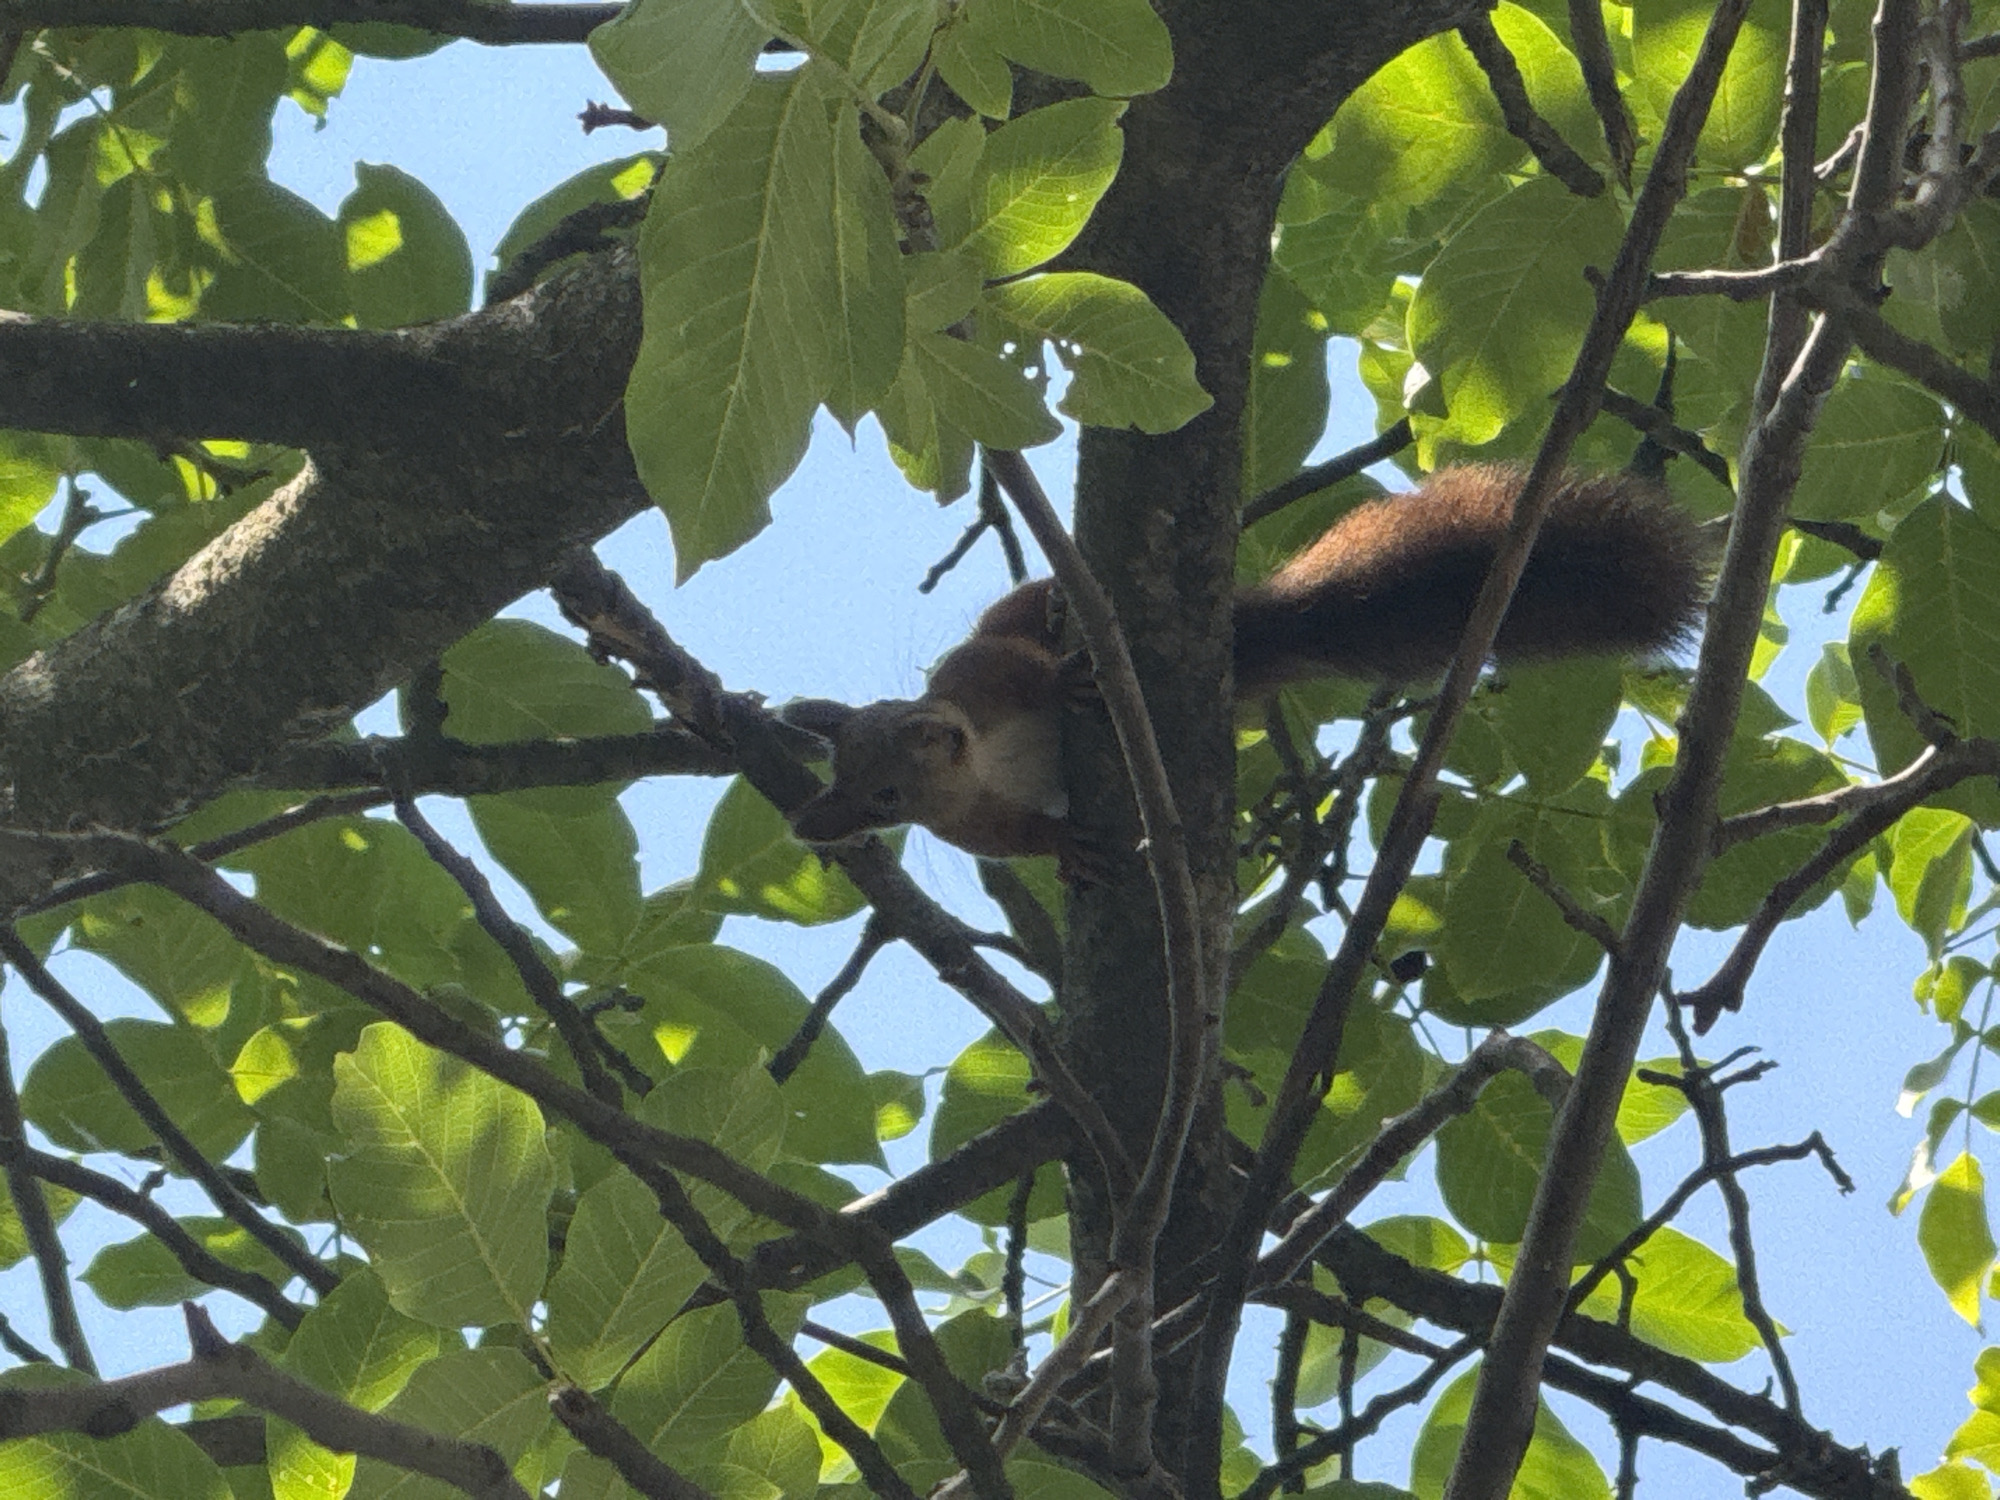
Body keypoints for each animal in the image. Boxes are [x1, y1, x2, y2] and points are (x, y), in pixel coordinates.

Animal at [784, 464, 1714, 866]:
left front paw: (1069, 677)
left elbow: (1023, 666)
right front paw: (1064, 845)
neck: (985, 755)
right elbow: (1015, 841)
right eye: (882, 798)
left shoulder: (981, 676)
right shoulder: (967, 824)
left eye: (900, 715)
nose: (940, 732)